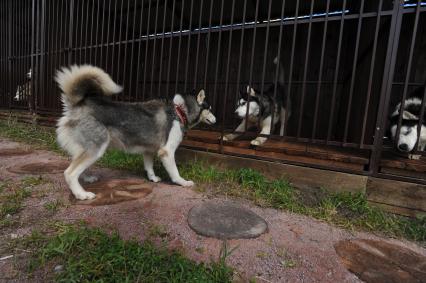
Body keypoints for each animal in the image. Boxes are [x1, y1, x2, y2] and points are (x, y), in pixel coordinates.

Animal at [55, 65, 216, 201]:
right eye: (210, 109)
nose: (216, 120)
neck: (179, 111)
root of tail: (77, 106)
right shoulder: (167, 152)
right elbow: (175, 172)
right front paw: (182, 182)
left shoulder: (149, 150)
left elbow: (149, 167)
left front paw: (152, 178)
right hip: (96, 148)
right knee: (69, 173)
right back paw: (81, 194)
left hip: (87, 148)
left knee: (76, 167)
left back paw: (87, 179)